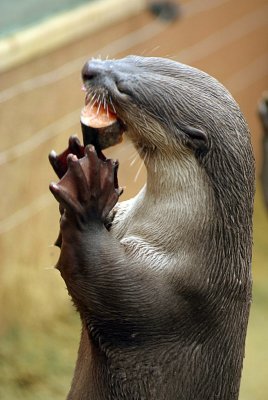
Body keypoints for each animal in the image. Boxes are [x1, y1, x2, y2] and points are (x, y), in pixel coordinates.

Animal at [48, 56, 255, 400]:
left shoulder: (175, 293)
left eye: (123, 89)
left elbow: (95, 276)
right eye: (129, 59)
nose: (90, 67)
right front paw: (73, 159)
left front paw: (88, 194)